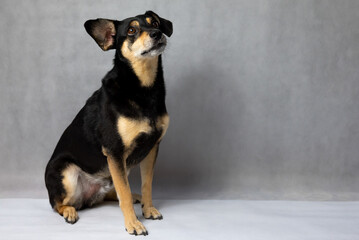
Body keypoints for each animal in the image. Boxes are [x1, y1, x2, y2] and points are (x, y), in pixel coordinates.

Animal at [44, 10, 174, 235]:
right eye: (131, 31)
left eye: (155, 23)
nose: (157, 33)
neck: (143, 88)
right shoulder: (115, 151)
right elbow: (125, 194)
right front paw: (133, 224)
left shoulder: (152, 148)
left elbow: (146, 185)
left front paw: (148, 209)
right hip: (67, 173)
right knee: (57, 204)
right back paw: (69, 211)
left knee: (113, 193)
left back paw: (136, 198)